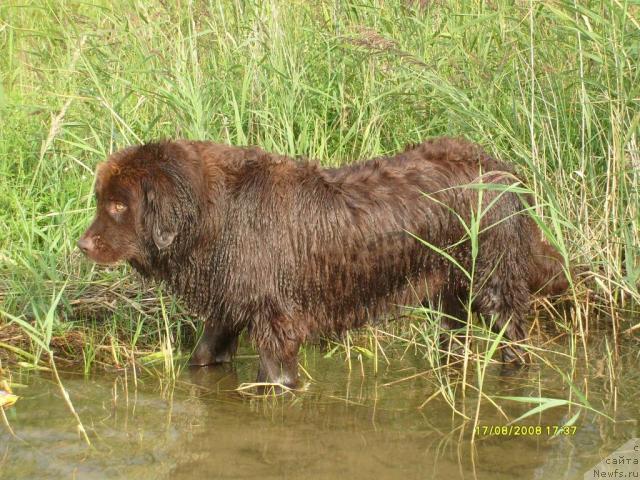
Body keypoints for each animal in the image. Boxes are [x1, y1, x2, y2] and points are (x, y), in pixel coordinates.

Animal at [77, 137, 568, 388]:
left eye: (118, 206)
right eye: (102, 200)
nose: (82, 245)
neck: (216, 214)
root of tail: (504, 168)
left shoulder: (277, 324)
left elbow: (274, 377)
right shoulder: (227, 308)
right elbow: (202, 357)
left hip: (493, 280)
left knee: (513, 334)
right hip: (450, 289)